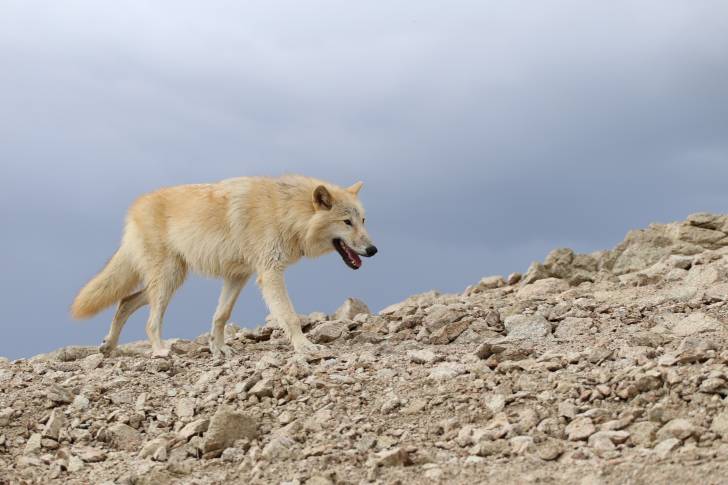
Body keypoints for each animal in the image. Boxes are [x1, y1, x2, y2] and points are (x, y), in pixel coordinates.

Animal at [71, 175, 377, 358]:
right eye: (346, 222)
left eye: (363, 220)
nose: (373, 250)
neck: (285, 212)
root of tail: (134, 208)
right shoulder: (270, 274)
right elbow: (289, 317)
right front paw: (305, 347)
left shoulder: (238, 276)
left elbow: (221, 315)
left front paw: (218, 349)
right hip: (168, 281)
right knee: (150, 321)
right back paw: (160, 351)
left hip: (171, 280)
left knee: (124, 301)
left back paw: (109, 346)